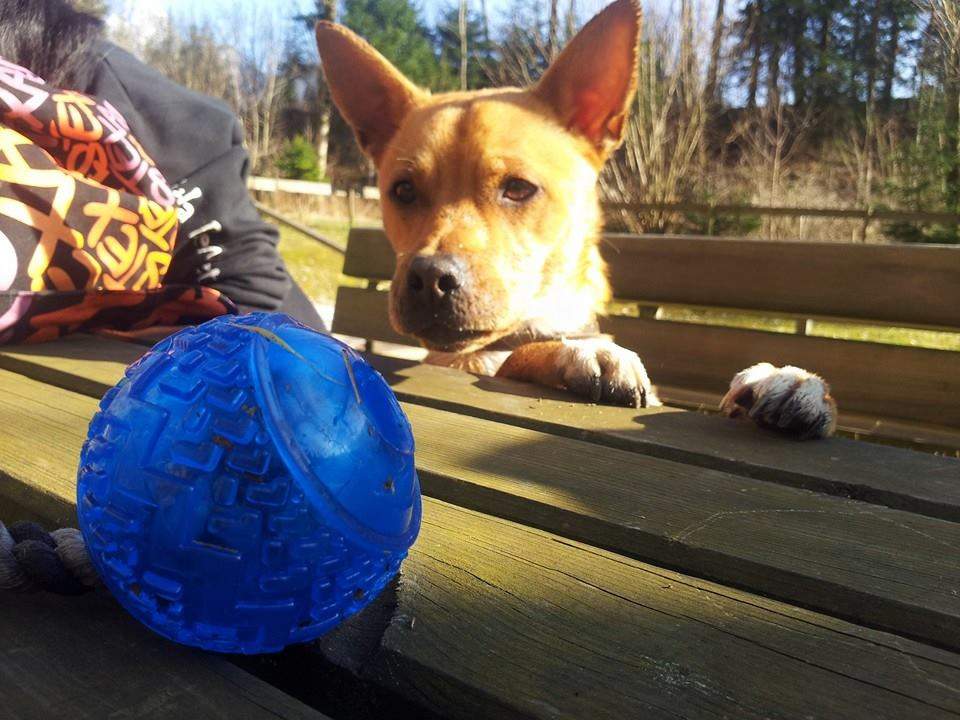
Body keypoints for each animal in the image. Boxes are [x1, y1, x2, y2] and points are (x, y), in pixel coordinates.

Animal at [316, 0, 840, 438]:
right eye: (402, 192)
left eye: (518, 189)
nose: (428, 277)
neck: (543, 322)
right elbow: (518, 357)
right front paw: (583, 351)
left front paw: (781, 379)